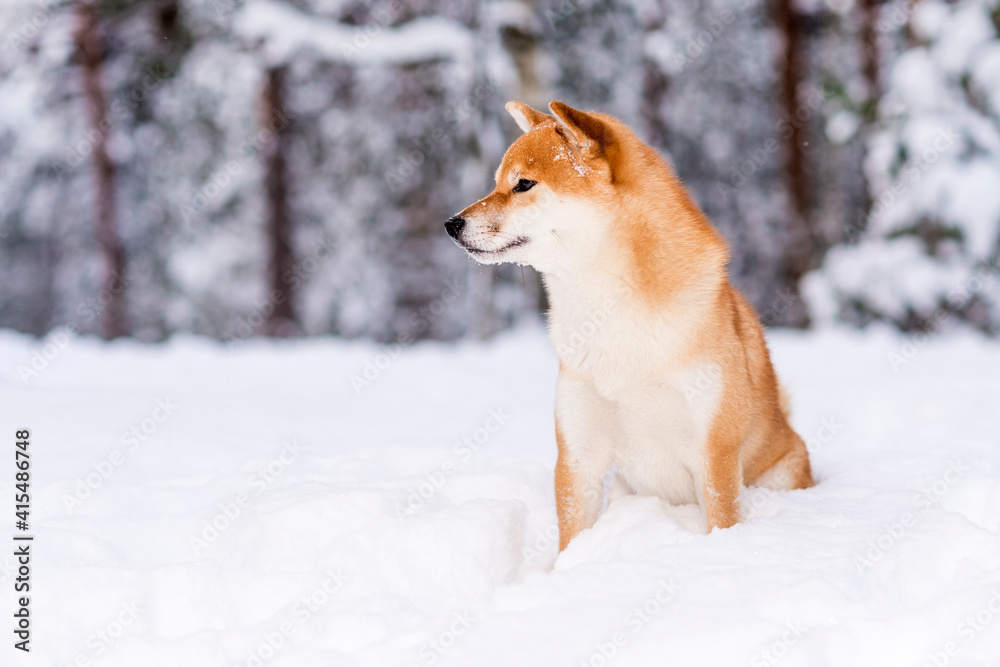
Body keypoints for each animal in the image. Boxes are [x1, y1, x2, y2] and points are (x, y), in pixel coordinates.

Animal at [446, 100, 812, 552]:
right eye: (497, 182)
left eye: (523, 184)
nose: (451, 224)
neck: (611, 313)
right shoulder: (579, 454)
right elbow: (572, 537)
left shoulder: (715, 451)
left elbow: (722, 520)